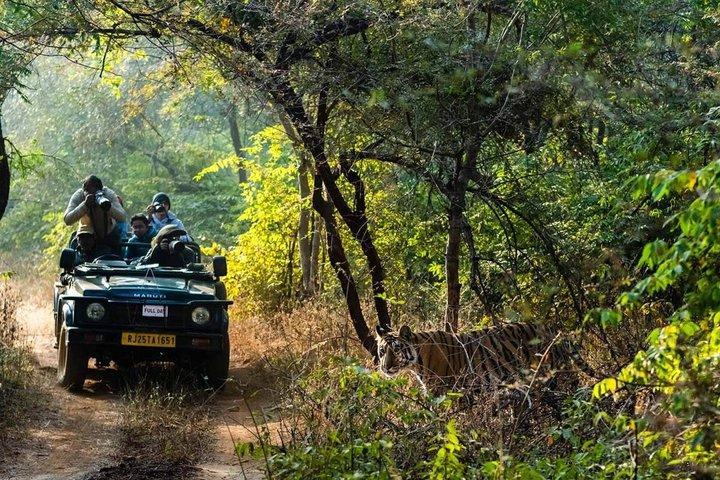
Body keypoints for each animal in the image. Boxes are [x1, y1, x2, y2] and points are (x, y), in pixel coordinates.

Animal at [375, 322, 596, 395]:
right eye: (382, 351)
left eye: (396, 350)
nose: (385, 368)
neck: (417, 362)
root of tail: (551, 327)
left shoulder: (447, 392)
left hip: (554, 373)